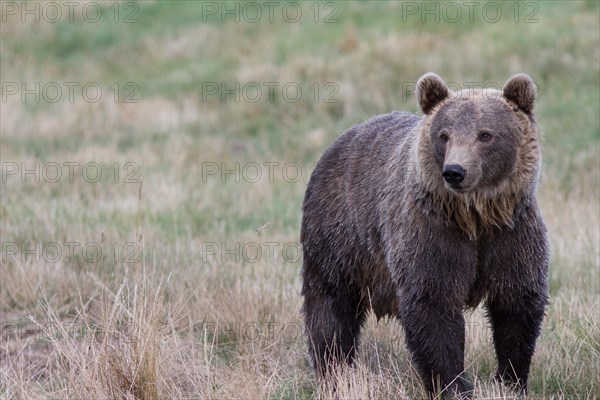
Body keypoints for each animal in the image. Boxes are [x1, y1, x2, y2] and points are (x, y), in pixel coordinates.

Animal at [300, 73, 548, 398]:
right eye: (444, 135)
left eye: (485, 134)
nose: (454, 171)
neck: (475, 217)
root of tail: (338, 142)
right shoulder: (430, 234)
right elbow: (433, 307)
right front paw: (453, 385)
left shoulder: (509, 235)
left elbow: (517, 304)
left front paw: (510, 380)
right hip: (339, 235)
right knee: (330, 305)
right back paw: (335, 373)